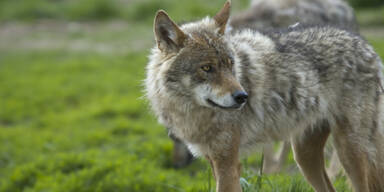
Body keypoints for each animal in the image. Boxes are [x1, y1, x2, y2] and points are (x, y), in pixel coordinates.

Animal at [145, 0, 384, 191]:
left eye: (230, 64)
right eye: (206, 68)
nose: (243, 96)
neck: (193, 113)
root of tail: (367, 46)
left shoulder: (228, 164)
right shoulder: (215, 161)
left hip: (351, 154)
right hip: (305, 157)